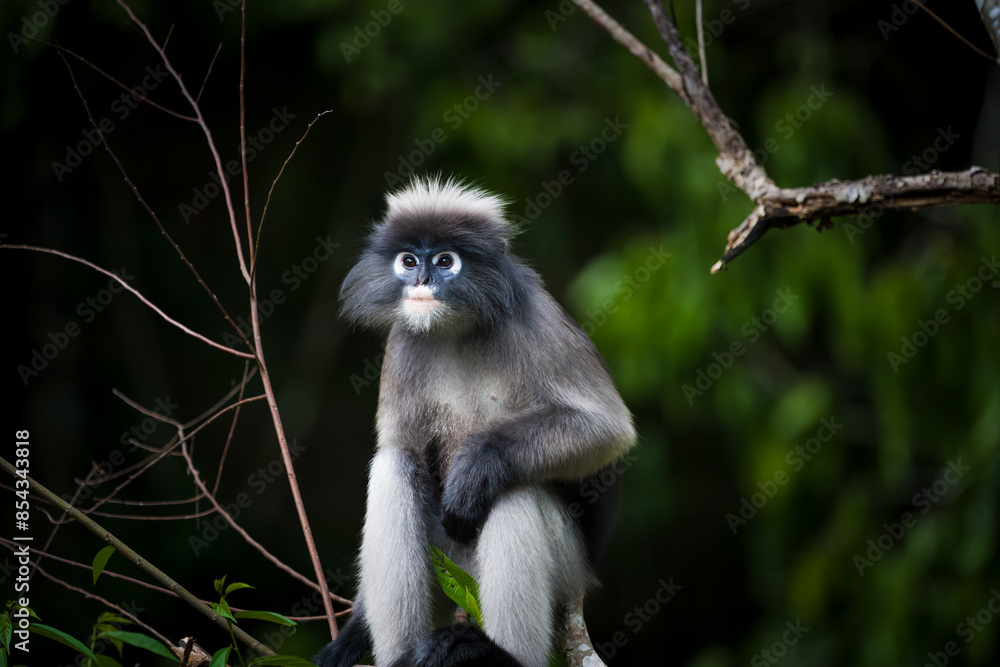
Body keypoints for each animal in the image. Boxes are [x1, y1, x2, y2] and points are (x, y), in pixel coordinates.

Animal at [315, 176, 636, 667]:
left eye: (446, 261)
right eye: (409, 260)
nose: (422, 280)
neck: (455, 328)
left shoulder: (537, 319)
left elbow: (608, 427)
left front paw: (475, 467)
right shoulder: (402, 341)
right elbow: (400, 448)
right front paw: (353, 633)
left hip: (561, 569)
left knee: (512, 489)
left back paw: (498, 653)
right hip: (447, 562)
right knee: (394, 463)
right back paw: (402, 655)